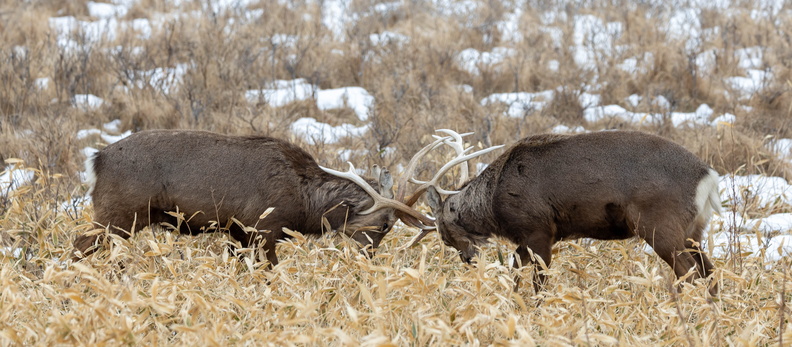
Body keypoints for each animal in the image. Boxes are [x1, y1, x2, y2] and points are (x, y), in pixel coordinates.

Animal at [414, 132, 724, 294]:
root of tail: (708, 178)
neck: (494, 200)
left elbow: (539, 282)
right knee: (709, 272)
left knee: (690, 274)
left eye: (444, 234)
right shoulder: (527, 239)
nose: (467, 260)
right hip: (693, 230)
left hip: (659, 225)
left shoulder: (538, 231)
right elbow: (515, 272)